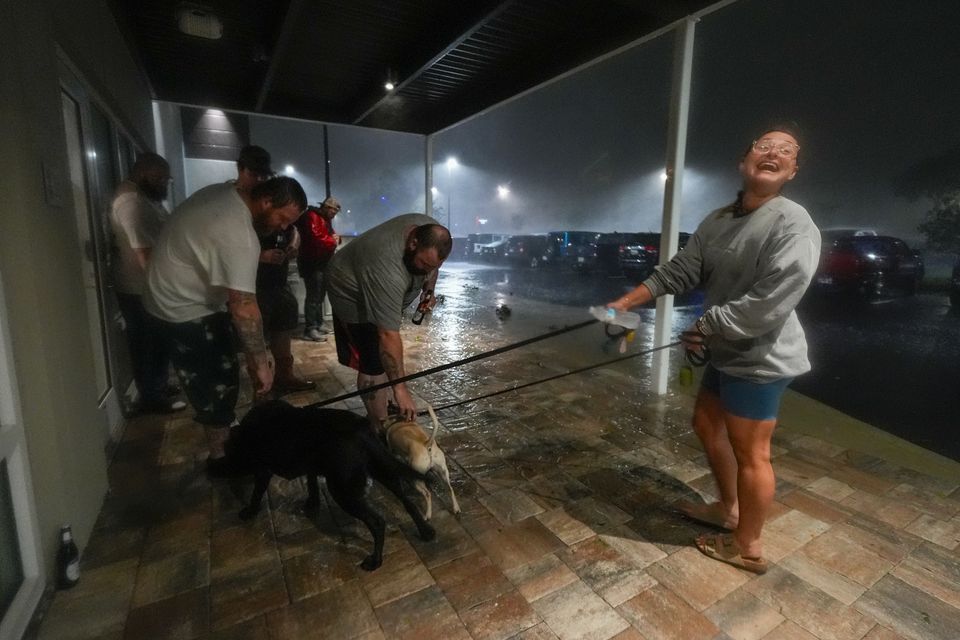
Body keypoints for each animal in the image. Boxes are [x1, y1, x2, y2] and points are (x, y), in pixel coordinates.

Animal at [223, 400, 436, 568]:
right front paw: (312, 503)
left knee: (377, 522)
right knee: (408, 502)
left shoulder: (263, 470)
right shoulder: (311, 466)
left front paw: (249, 511)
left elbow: (256, 493)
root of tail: (362, 431)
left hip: (342, 491)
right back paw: (426, 532)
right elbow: (311, 484)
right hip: (382, 471)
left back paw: (375, 561)